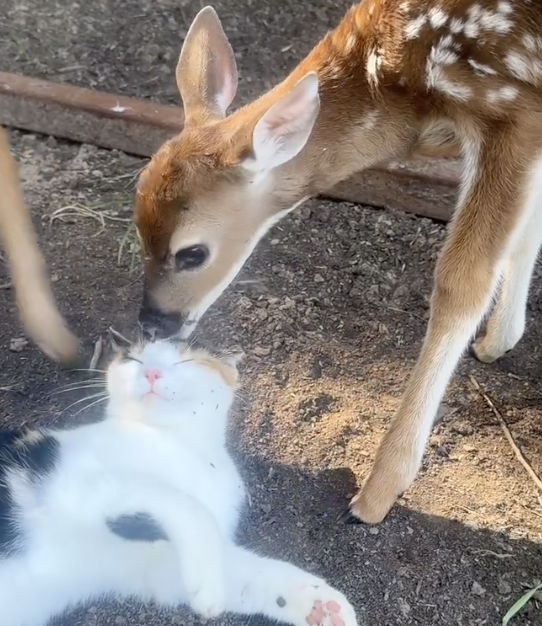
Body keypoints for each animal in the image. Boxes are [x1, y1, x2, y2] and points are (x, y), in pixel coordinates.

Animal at [0, 334, 362, 624]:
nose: (151, 372)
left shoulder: (159, 566)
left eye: (186, 360)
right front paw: (210, 591)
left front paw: (319, 604)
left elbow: (251, 573)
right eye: (133, 359)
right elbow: (190, 509)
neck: (183, 444)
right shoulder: (72, 483)